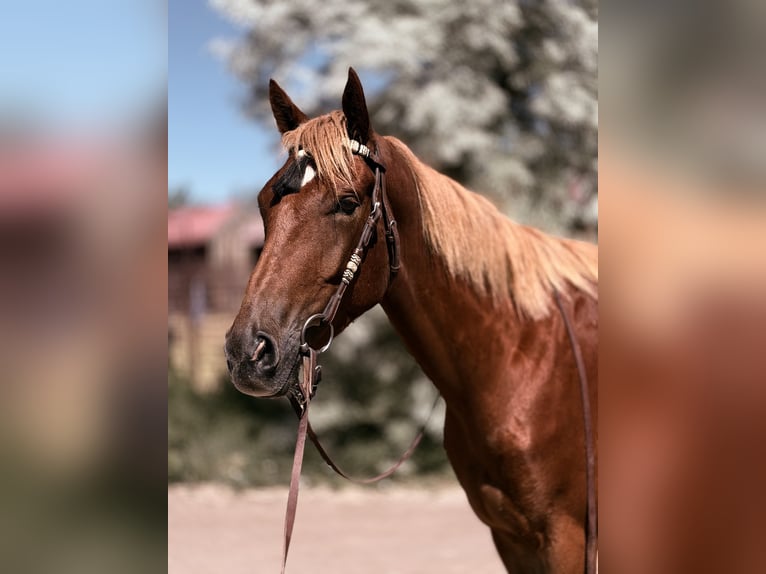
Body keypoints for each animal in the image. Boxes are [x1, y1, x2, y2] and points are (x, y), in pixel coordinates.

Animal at [224, 68, 598, 574]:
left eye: (347, 202)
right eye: (265, 203)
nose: (248, 353)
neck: (519, 356)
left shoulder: (565, 538)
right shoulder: (513, 540)